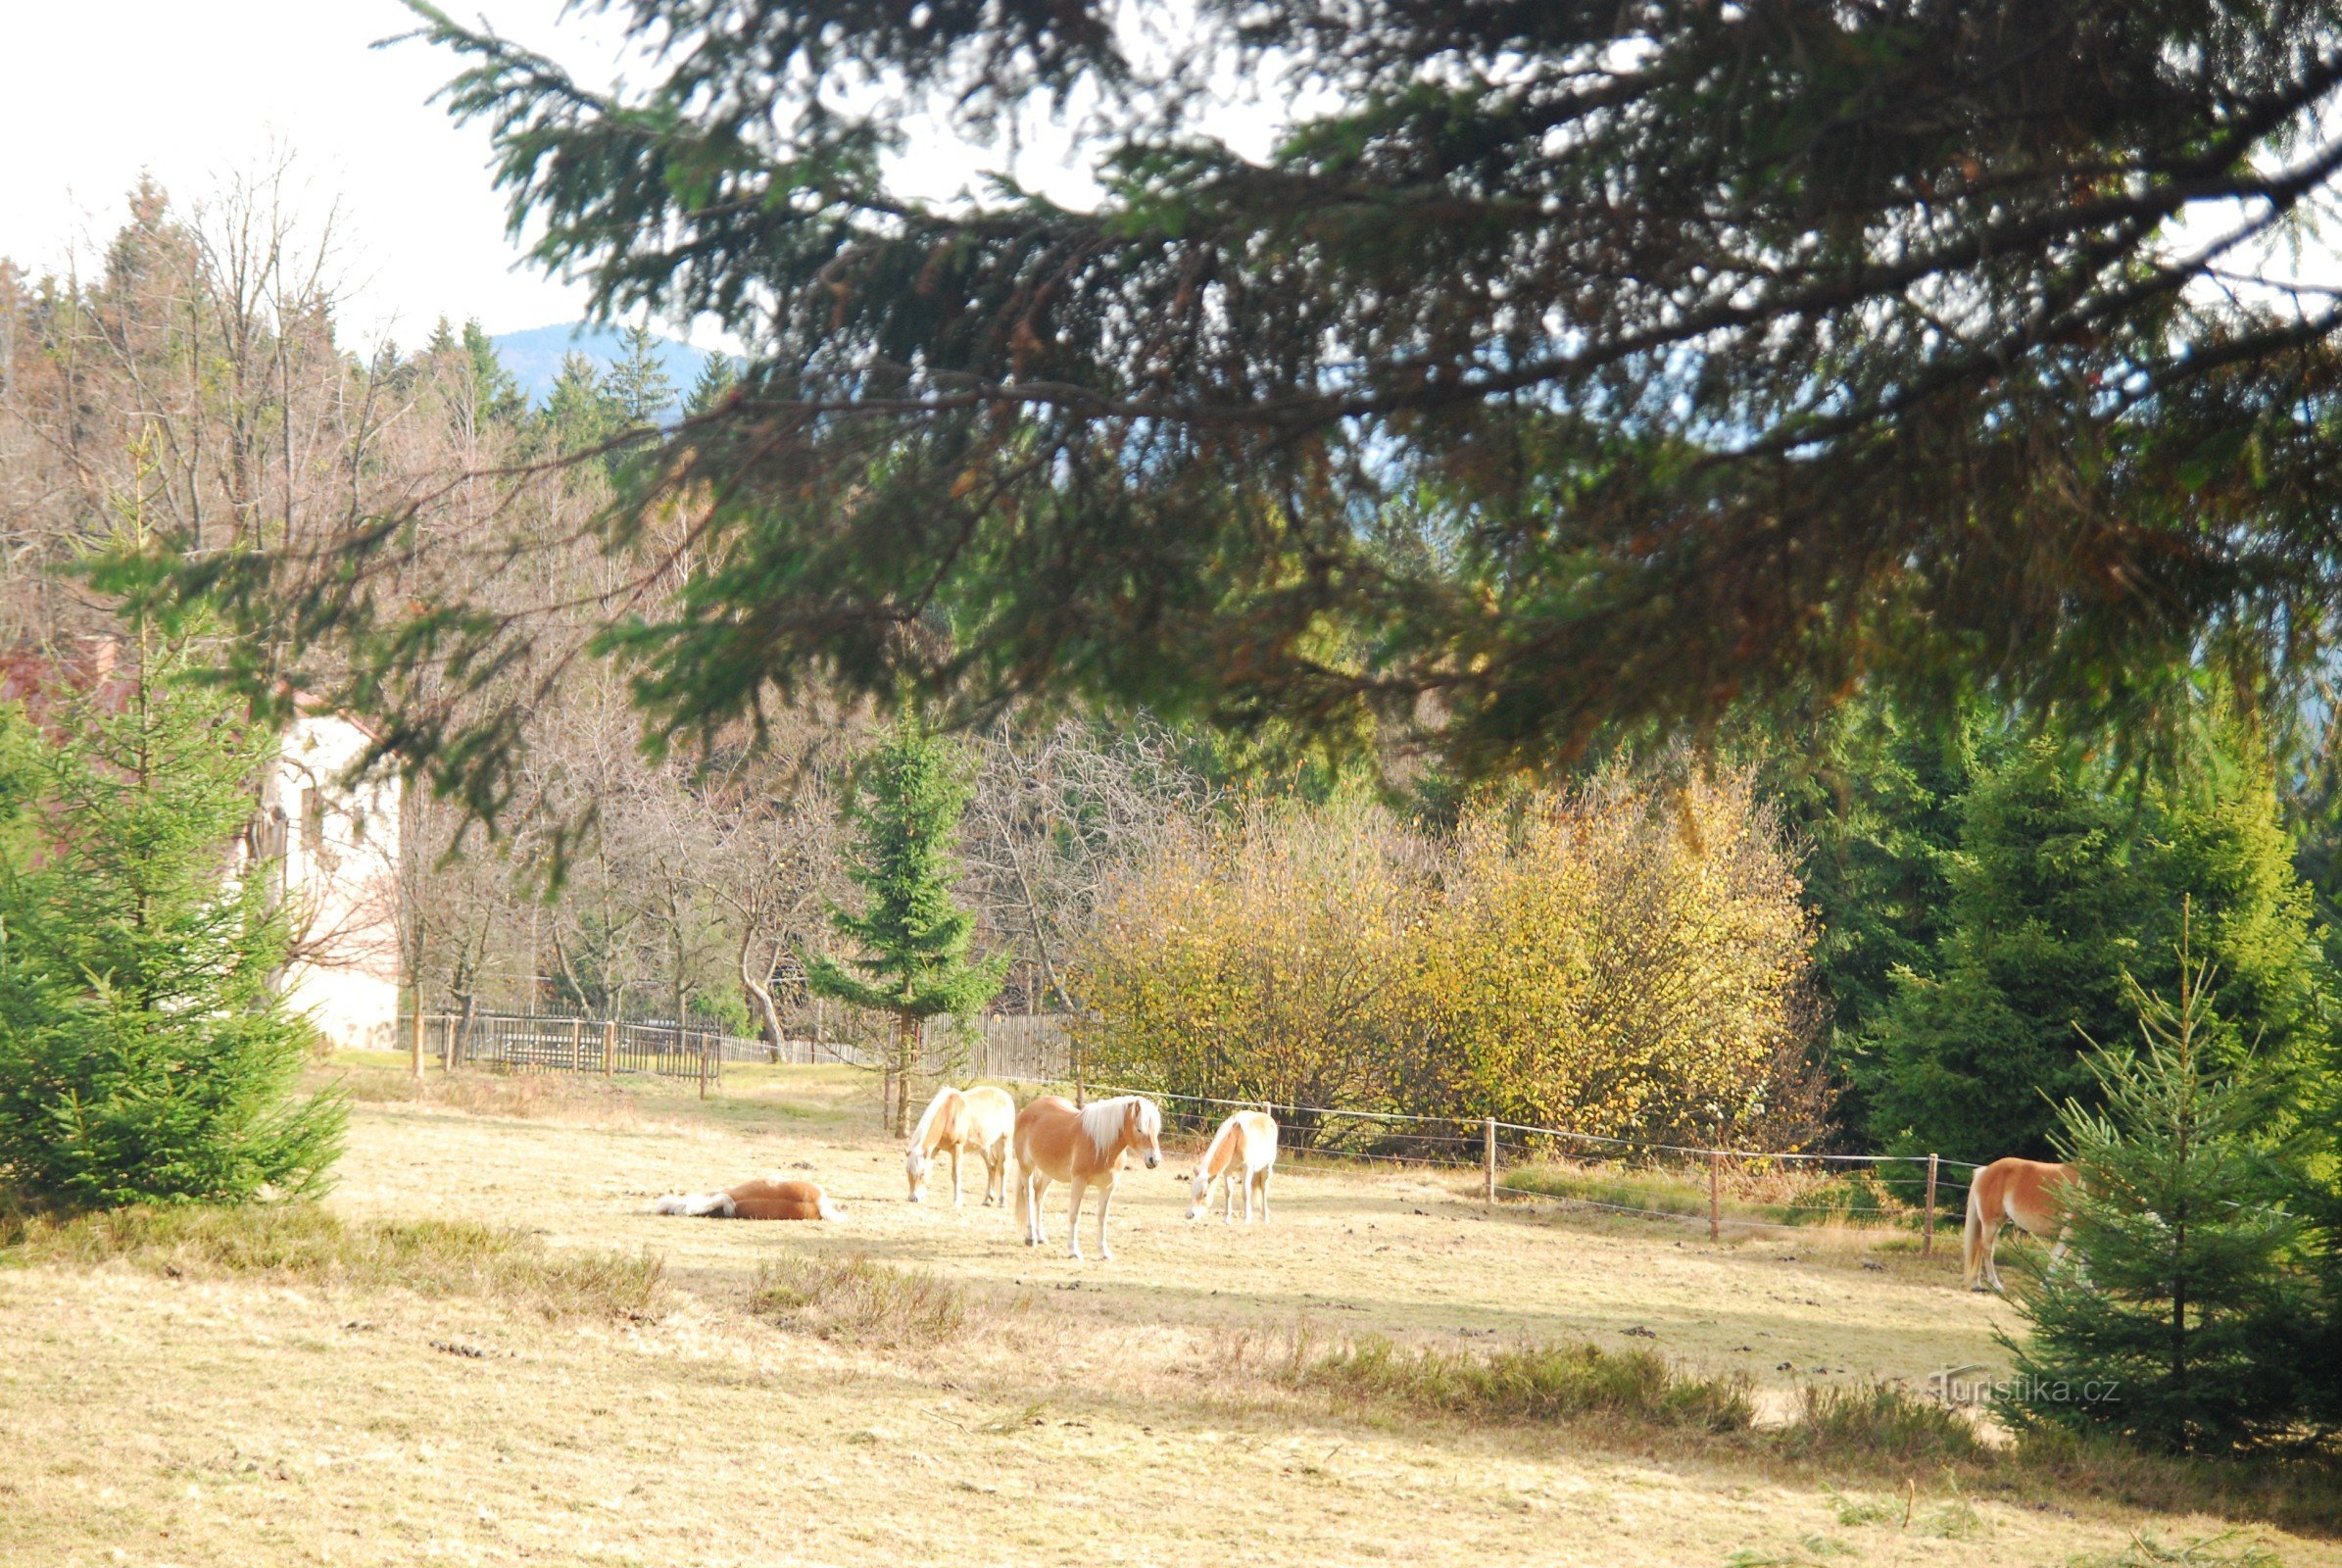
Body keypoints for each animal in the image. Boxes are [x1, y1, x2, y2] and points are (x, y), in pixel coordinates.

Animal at [903, 1082, 1016, 1209]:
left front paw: (957, 1202)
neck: (948, 1114)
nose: (913, 1198)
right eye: (907, 1171)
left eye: (921, 1173)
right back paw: (987, 1199)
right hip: (984, 1146)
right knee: (991, 1167)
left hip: (1005, 1140)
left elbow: (956, 1175)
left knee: (1003, 1169)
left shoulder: (957, 1148)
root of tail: (1006, 1096)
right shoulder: (934, 1149)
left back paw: (1003, 1202)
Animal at [1021, 1097, 1166, 1265]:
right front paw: (1073, 1251)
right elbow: (1074, 1215)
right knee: (1029, 1196)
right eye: (1139, 1129)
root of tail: (1029, 1109)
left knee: (1039, 1198)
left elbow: (1102, 1217)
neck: (1101, 1145)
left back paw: (1041, 1237)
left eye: (1156, 1130)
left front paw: (1104, 1252)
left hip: (1048, 1173)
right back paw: (1031, 1238)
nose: (1154, 1160)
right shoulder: (1078, 1181)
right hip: (1026, 1168)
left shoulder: (1108, 1186)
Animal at [1967, 1157, 2079, 1294]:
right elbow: (2057, 1257)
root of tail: (1985, 1170)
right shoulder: (2070, 1231)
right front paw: (2047, 1287)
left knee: (1978, 1246)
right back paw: (1996, 1284)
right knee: (1987, 1249)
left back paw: (1976, 1284)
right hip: (1991, 1223)